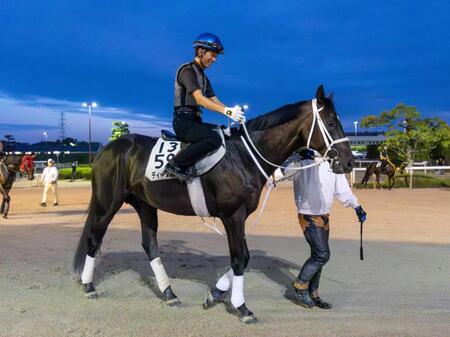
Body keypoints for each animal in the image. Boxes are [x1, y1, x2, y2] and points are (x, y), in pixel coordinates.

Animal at [74, 84, 356, 322]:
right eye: (331, 122)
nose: (349, 162)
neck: (243, 156)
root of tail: (107, 148)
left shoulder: (239, 217)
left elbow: (244, 255)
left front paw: (217, 293)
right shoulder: (233, 215)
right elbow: (239, 258)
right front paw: (241, 307)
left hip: (145, 205)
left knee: (150, 245)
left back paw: (169, 293)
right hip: (107, 203)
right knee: (94, 238)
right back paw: (89, 286)